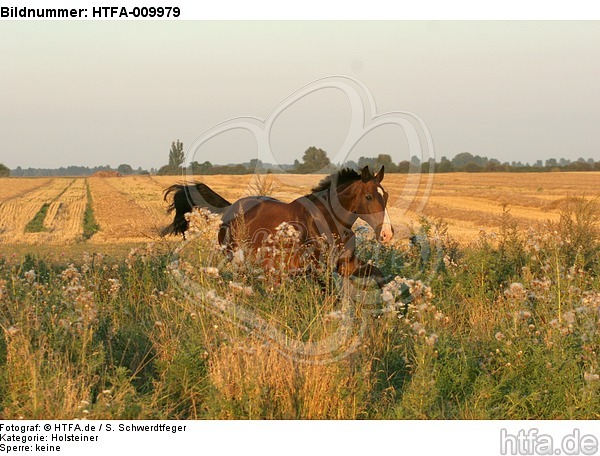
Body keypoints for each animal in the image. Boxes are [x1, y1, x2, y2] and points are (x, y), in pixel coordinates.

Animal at [162, 167, 394, 286]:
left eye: (386, 195)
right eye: (368, 196)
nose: (387, 234)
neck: (329, 222)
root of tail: (230, 208)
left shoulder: (347, 265)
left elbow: (379, 276)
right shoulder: (316, 269)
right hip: (236, 257)